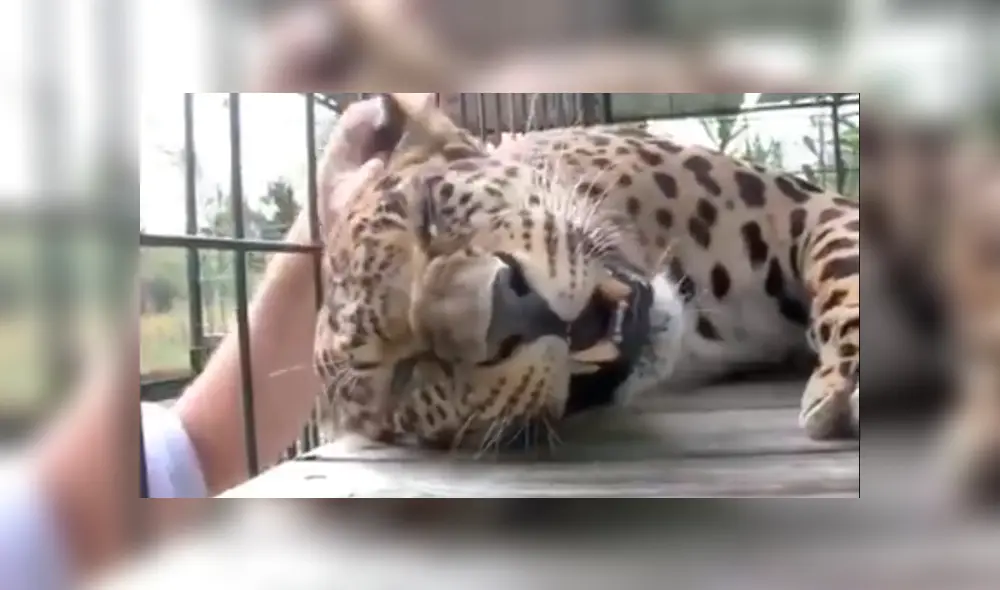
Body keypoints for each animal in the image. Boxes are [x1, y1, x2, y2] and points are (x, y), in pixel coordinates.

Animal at [313, 92, 861, 453]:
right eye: (404, 377)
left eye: (428, 212)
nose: (507, 307)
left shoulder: (807, 208)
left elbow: (845, 273)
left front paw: (845, 384)